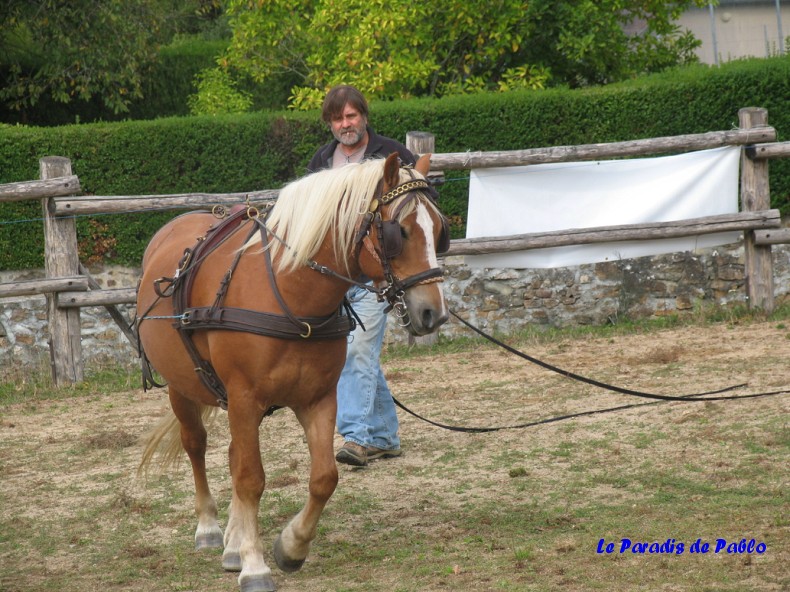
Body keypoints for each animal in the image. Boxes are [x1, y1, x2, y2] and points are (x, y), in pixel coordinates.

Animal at [136, 154, 452, 592]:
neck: (291, 295)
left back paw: (233, 542)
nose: (432, 312)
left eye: (438, 231)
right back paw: (211, 528)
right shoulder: (244, 398)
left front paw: (291, 546)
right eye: (399, 232)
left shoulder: (317, 398)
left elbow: (323, 477)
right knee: (196, 445)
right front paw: (255, 565)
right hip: (183, 388)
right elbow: (251, 478)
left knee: (233, 456)